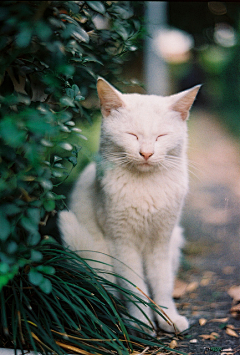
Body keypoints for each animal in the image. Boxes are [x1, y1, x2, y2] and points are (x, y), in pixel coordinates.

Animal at [58, 77, 201, 334]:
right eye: (132, 135)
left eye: (161, 136)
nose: (146, 153)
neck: (146, 189)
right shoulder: (122, 243)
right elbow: (134, 286)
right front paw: (143, 321)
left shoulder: (161, 242)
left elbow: (162, 282)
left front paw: (168, 317)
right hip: (99, 258)